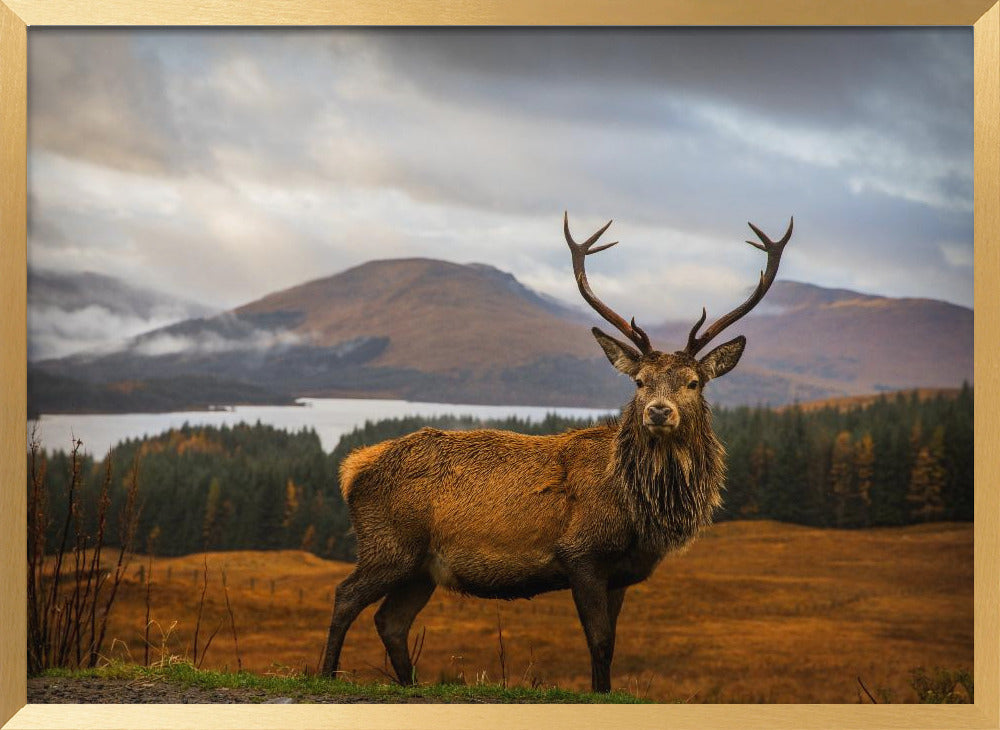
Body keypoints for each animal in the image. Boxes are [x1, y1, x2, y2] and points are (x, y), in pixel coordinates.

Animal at [321, 212, 793, 692]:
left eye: (694, 382)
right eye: (639, 381)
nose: (659, 411)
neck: (639, 511)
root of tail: (352, 468)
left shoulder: (621, 574)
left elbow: (612, 644)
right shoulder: (581, 554)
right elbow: (599, 642)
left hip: (421, 568)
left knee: (390, 621)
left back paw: (409, 685)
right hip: (389, 545)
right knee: (344, 597)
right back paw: (326, 674)